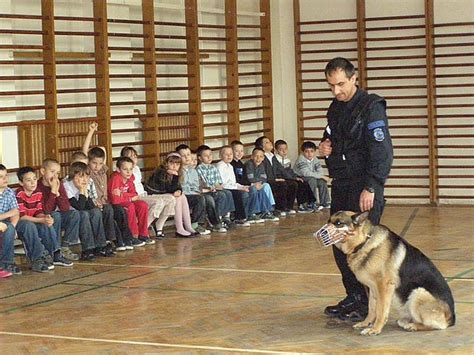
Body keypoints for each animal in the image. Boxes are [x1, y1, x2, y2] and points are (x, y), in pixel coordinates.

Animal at [326, 211, 456, 336]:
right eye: (328, 221)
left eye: (338, 223)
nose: (324, 232)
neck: (364, 242)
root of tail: (452, 318)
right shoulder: (372, 288)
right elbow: (372, 309)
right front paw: (366, 323)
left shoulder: (384, 287)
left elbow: (381, 311)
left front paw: (375, 329)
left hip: (418, 292)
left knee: (438, 326)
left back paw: (413, 326)